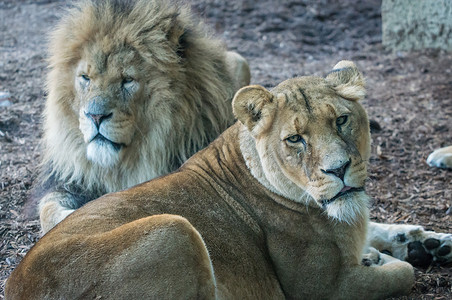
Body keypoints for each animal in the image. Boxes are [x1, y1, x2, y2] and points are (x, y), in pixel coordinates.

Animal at [6, 61, 448, 300]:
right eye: (295, 139)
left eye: (341, 120)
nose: (338, 170)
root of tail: (15, 285)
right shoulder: (324, 289)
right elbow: (401, 274)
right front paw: (383, 258)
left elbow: (380, 230)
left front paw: (425, 243)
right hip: (175, 230)